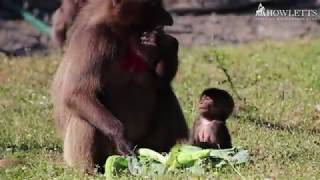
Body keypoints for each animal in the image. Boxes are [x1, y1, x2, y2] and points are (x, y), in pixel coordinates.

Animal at [51, 0, 189, 173]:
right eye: (152, 5)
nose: (169, 20)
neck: (121, 35)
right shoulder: (95, 39)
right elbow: (76, 93)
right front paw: (120, 136)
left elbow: (158, 83)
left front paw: (169, 44)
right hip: (91, 151)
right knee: (84, 116)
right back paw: (91, 170)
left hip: (149, 142)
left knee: (164, 94)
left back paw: (180, 150)